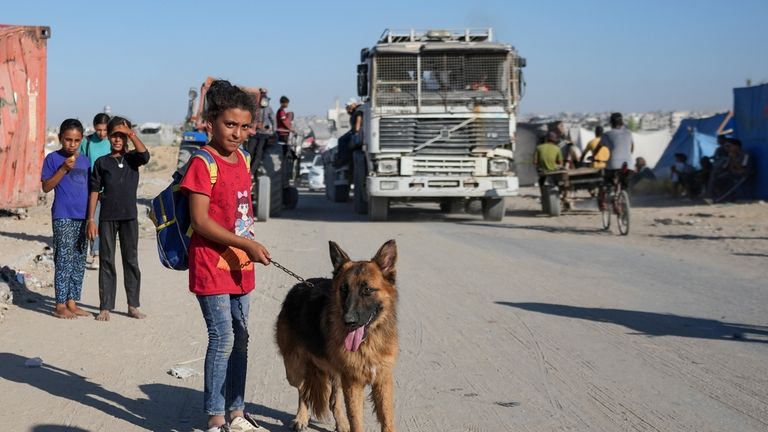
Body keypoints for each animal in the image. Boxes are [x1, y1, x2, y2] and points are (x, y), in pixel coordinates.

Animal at [276, 240, 400, 432]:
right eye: (343, 289)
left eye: (367, 290)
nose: (348, 321)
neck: (368, 341)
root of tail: (299, 286)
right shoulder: (354, 383)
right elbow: (356, 421)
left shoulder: (382, 381)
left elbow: (387, 420)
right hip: (294, 370)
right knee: (304, 390)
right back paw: (301, 418)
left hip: (337, 377)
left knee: (333, 400)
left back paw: (341, 422)